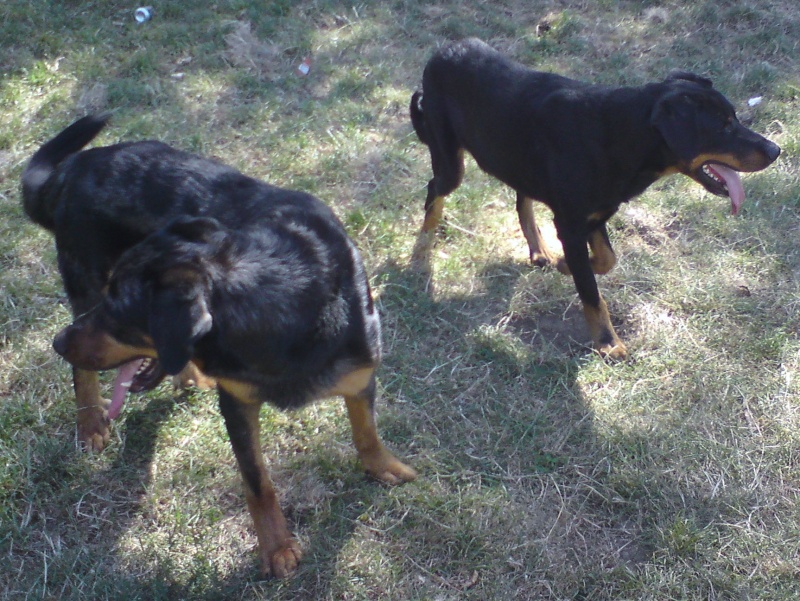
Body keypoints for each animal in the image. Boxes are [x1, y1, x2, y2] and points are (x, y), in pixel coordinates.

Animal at [42, 124, 418, 576]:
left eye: (118, 311)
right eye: (113, 301)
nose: (57, 342)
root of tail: (75, 165)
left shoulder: (361, 376)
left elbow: (367, 431)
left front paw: (383, 467)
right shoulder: (237, 404)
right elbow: (258, 481)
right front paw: (276, 548)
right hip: (82, 281)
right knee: (82, 372)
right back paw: (90, 423)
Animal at [410, 39, 780, 358]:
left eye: (734, 118)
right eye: (723, 126)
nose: (776, 150)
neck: (616, 134)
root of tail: (441, 51)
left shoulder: (596, 214)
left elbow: (606, 259)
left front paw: (564, 264)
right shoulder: (572, 222)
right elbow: (590, 290)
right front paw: (607, 343)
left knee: (521, 197)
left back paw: (539, 250)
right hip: (450, 162)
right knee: (434, 191)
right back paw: (421, 254)